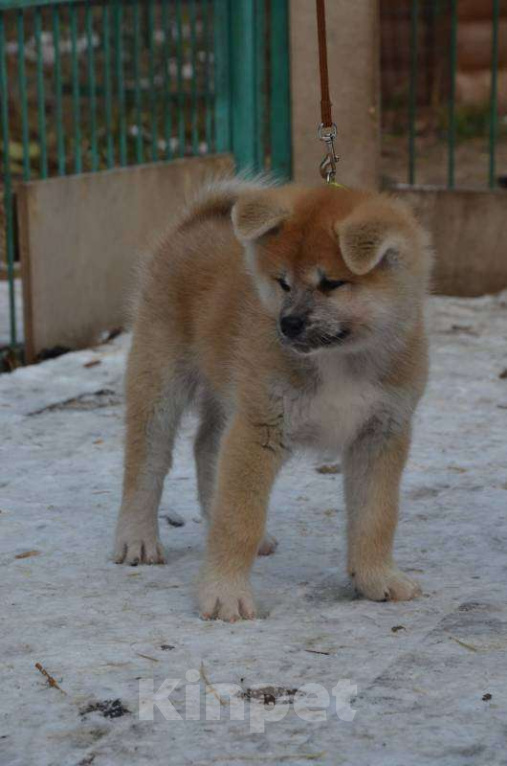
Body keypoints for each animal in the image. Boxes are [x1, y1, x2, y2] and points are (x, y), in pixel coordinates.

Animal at [114, 178, 432, 624]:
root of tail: (194, 221)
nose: (288, 324)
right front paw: (224, 594)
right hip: (161, 377)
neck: (340, 360)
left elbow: (376, 516)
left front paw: (376, 577)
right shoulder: (260, 428)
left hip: (231, 392)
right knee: (147, 462)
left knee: (207, 446)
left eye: (331, 283)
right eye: (282, 283)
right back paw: (137, 538)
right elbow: (238, 519)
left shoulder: (381, 433)